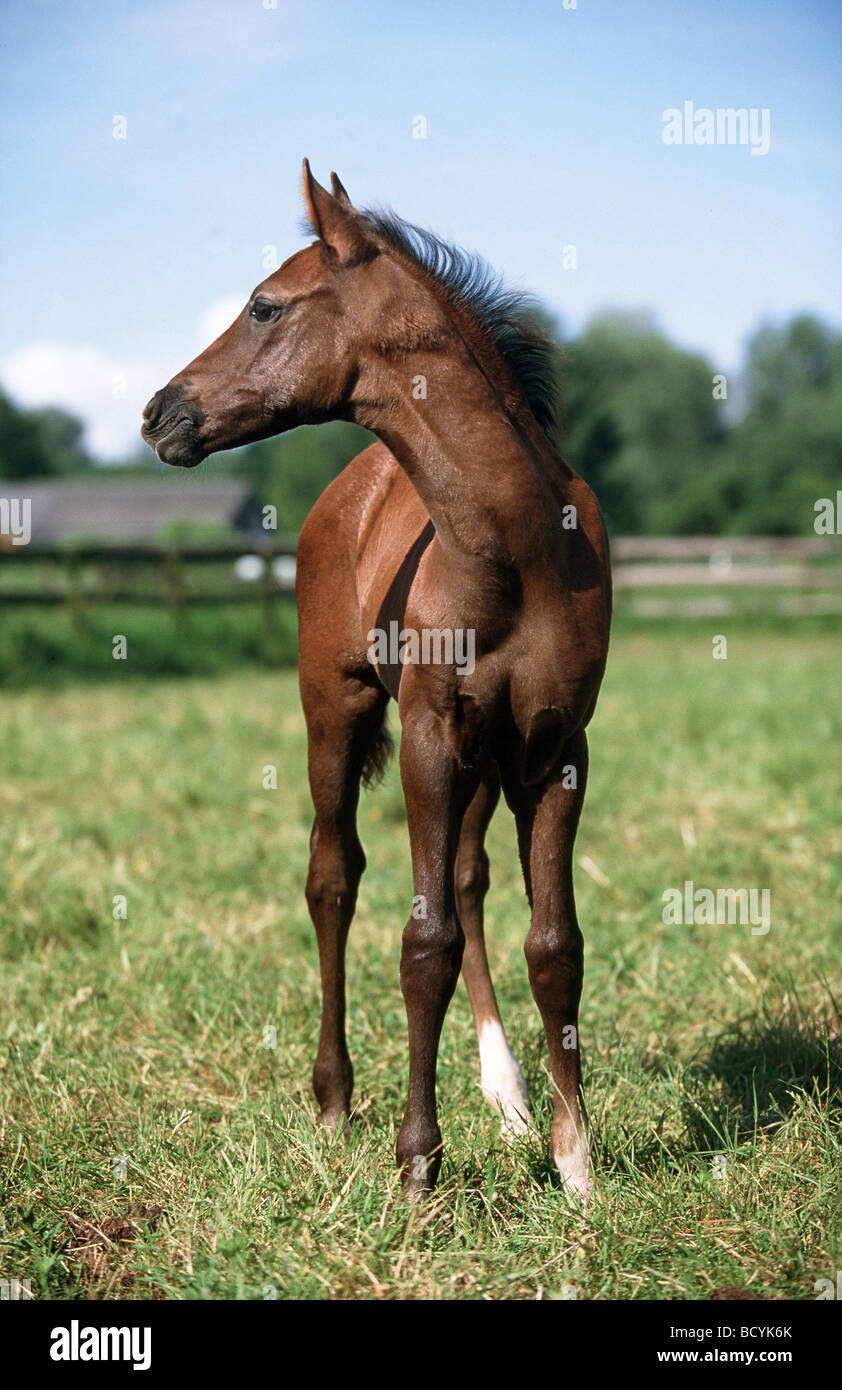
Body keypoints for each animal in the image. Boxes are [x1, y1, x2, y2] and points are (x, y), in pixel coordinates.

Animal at [142, 162, 611, 1200]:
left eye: (264, 305)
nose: (160, 413)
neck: (519, 549)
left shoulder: (558, 746)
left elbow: (554, 944)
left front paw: (577, 1161)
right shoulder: (431, 736)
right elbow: (421, 943)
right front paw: (417, 1165)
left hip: (487, 758)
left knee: (470, 881)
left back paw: (508, 1096)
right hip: (338, 709)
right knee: (334, 877)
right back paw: (332, 1100)